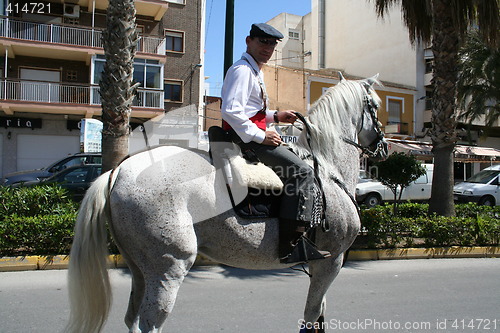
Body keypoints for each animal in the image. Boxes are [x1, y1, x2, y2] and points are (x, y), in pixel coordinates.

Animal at [65, 75, 386, 332]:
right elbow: (311, 316)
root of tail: (118, 171)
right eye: (376, 105)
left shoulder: (324, 265)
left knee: (132, 318)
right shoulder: (330, 261)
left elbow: (319, 314)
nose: (382, 145)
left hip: (139, 268)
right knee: (149, 322)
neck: (327, 168)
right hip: (169, 267)